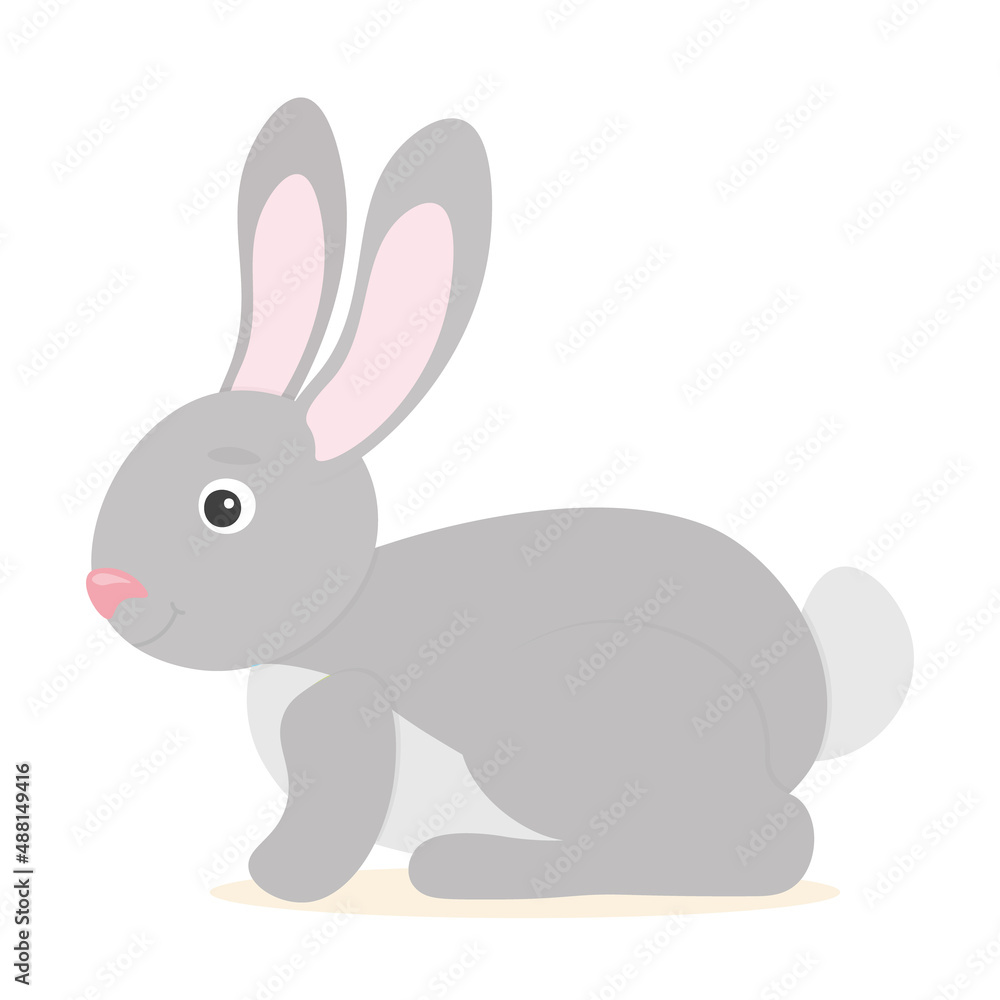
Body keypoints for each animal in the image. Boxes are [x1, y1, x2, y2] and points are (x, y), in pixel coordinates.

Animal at [87, 98, 913, 903]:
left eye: (223, 507)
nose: (106, 589)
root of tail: (810, 729)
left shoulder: (346, 711)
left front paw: (281, 878)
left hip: (546, 722)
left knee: (763, 843)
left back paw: (468, 869)